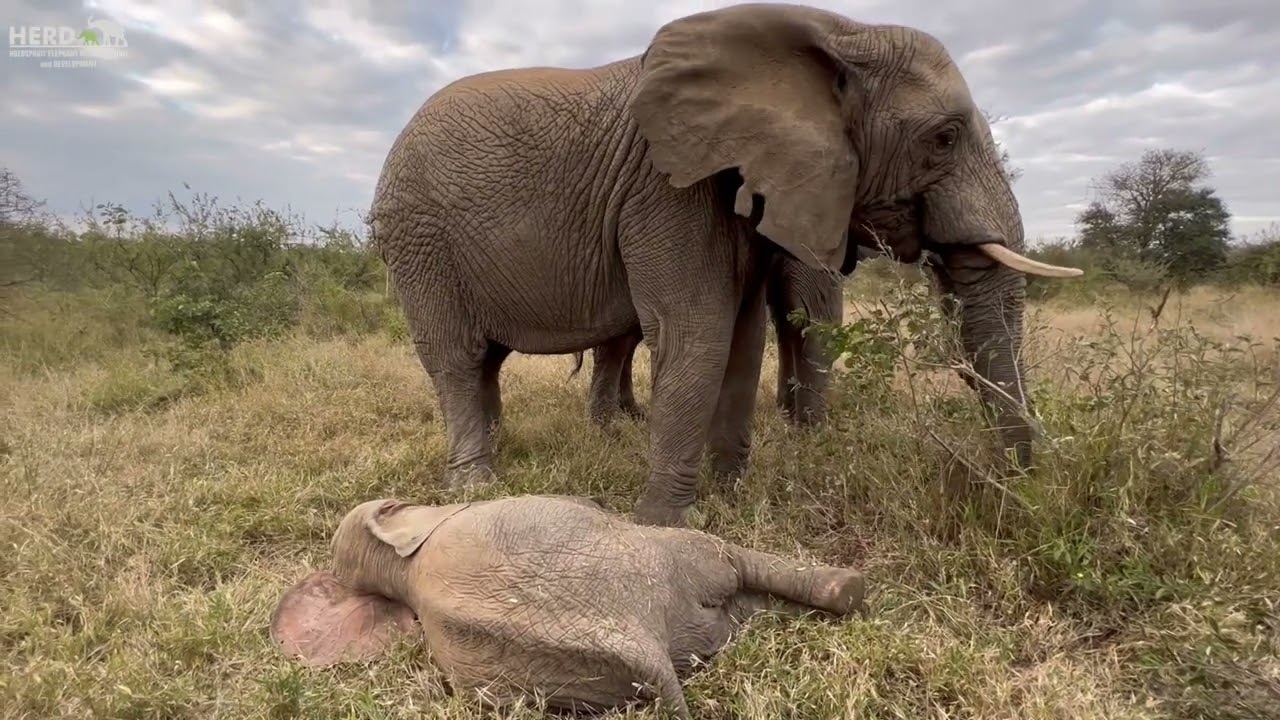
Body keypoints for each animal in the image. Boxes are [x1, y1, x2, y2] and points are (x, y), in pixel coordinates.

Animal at [367, 3, 1083, 527]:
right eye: (944, 138)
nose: (1015, 492)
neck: (840, 30)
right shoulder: (668, 191)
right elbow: (698, 333)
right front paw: (659, 525)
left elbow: (741, 336)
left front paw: (729, 497)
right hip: (419, 241)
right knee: (457, 357)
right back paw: (476, 488)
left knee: (485, 361)